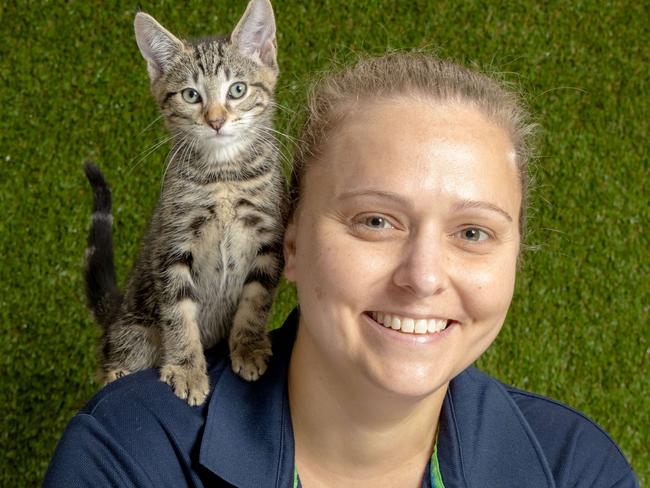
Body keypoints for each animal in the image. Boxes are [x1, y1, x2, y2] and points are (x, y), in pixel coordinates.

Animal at [83, 0, 284, 406]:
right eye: (191, 95)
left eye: (237, 89)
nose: (216, 120)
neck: (223, 177)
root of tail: (116, 317)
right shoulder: (173, 243)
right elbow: (178, 313)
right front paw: (187, 368)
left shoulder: (269, 240)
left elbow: (256, 300)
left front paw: (249, 346)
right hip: (135, 330)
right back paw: (117, 372)